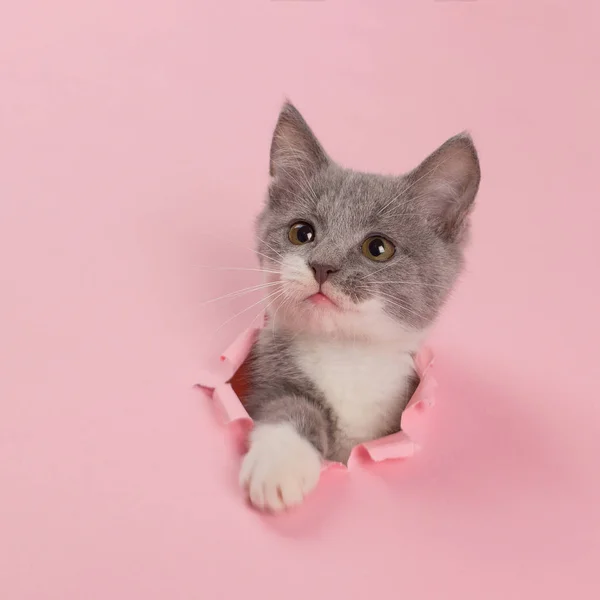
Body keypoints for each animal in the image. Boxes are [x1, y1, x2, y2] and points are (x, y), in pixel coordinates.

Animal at [238, 99, 478, 510]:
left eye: (377, 248)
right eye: (301, 232)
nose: (322, 266)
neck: (346, 355)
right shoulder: (268, 372)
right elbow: (288, 404)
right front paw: (280, 462)